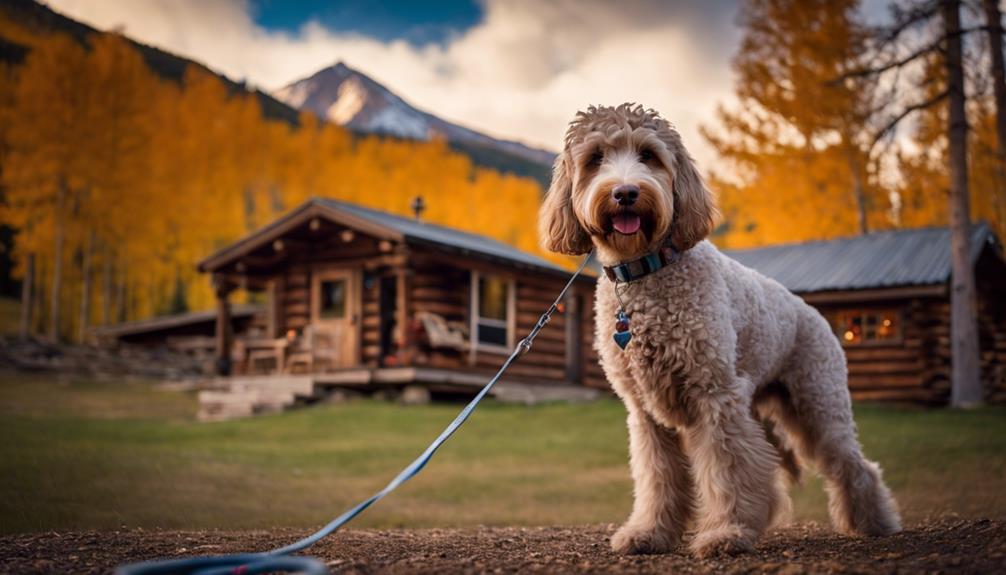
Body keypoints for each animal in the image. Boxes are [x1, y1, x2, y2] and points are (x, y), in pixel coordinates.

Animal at [543, 103, 905, 558]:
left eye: (648, 155)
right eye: (595, 159)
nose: (625, 192)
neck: (646, 271)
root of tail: (815, 314)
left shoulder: (715, 395)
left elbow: (727, 469)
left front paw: (727, 532)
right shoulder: (645, 413)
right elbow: (657, 476)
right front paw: (649, 531)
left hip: (818, 407)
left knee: (854, 464)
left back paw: (875, 523)